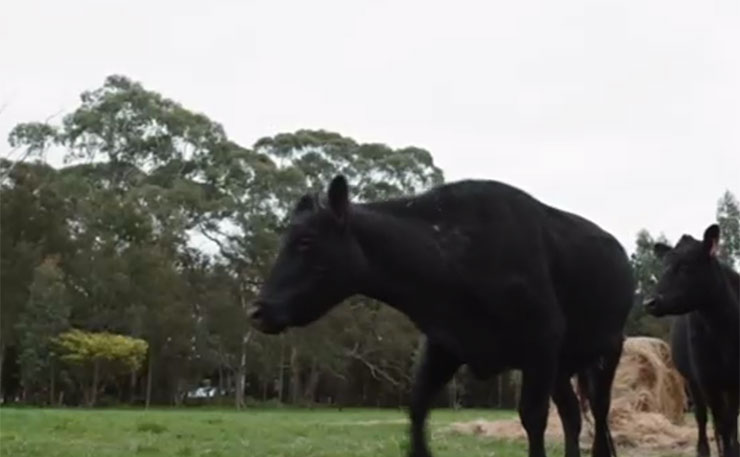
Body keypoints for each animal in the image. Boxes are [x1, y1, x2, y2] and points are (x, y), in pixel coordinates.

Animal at [251, 175, 632, 456]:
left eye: (305, 241)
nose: (258, 310)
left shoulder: (540, 344)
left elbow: (533, 417)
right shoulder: (444, 344)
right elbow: (418, 410)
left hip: (607, 351)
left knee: (599, 416)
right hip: (562, 367)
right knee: (572, 414)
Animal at [644, 224, 736, 456]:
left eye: (685, 266)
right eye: (663, 267)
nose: (649, 302)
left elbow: (731, 422)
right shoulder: (707, 379)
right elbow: (722, 423)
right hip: (692, 381)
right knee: (702, 418)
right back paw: (703, 449)